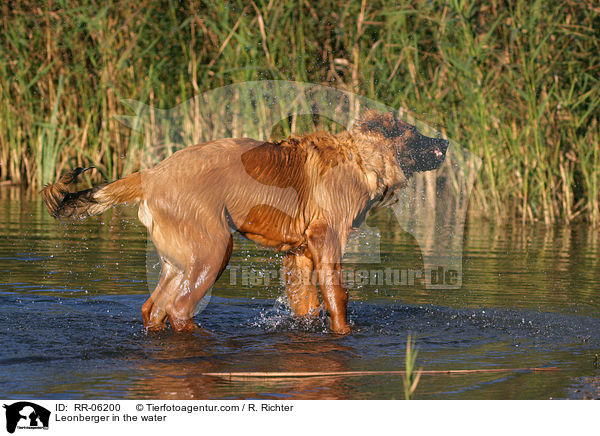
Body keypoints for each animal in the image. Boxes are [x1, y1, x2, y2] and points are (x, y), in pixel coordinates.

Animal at [42, 111, 448, 334]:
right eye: (415, 133)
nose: (444, 141)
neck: (361, 158)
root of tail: (150, 175)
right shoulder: (327, 238)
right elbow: (337, 296)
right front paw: (343, 331)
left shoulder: (299, 253)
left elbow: (306, 303)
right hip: (213, 249)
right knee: (179, 308)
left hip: (178, 259)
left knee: (154, 307)